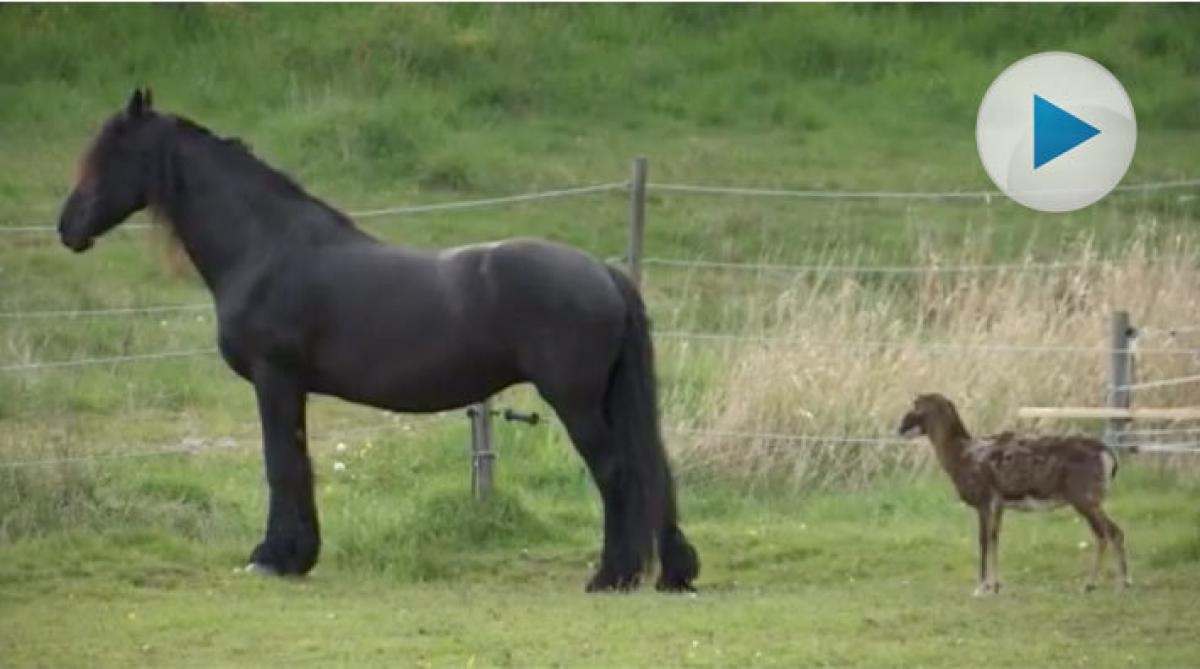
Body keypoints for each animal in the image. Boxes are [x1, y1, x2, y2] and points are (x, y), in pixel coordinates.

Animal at [56, 89, 700, 592]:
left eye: (110, 155)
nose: (67, 227)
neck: (267, 249)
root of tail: (604, 273)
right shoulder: (291, 388)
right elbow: (298, 464)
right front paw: (297, 556)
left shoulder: (274, 379)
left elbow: (281, 465)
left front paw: (274, 558)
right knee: (650, 471)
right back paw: (668, 571)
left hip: (576, 402)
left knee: (618, 474)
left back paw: (611, 576)